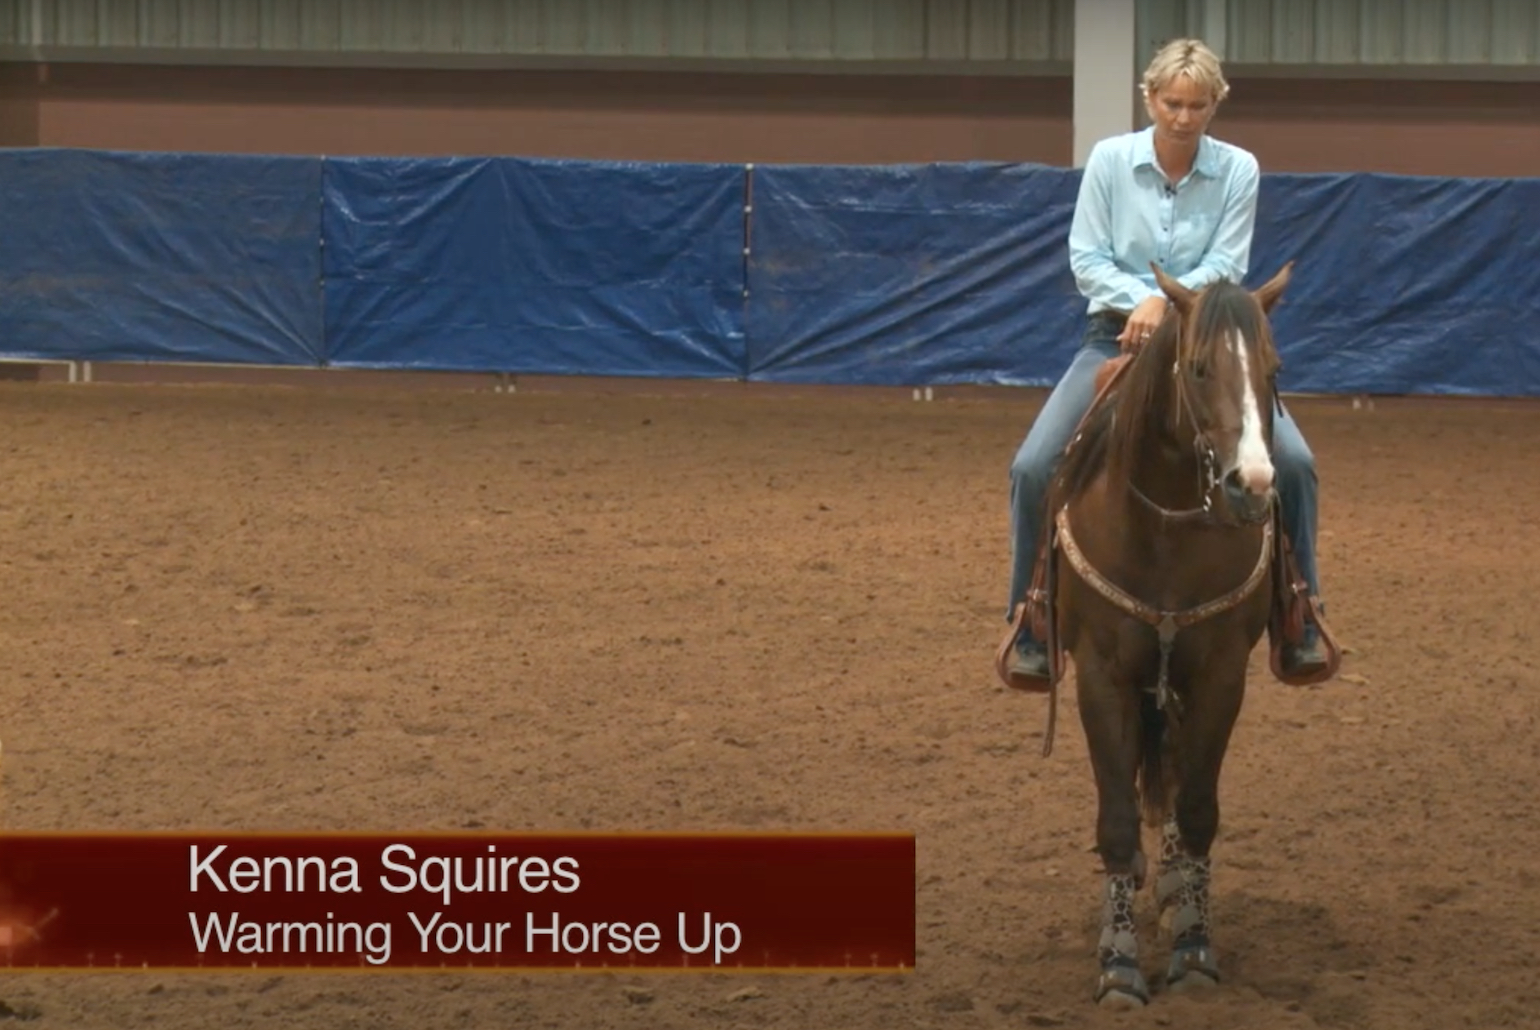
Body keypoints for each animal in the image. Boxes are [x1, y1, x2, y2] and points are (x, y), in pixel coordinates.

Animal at [1043, 262, 1295, 1007]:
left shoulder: (1220, 675)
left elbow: (1200, 810)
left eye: (1273, 368)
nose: (1252, 486)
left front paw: (1193, 948)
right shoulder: (1102, 676)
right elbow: (1118, 820)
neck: (1164, 532)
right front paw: (1119, 964)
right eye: (1200, 367)